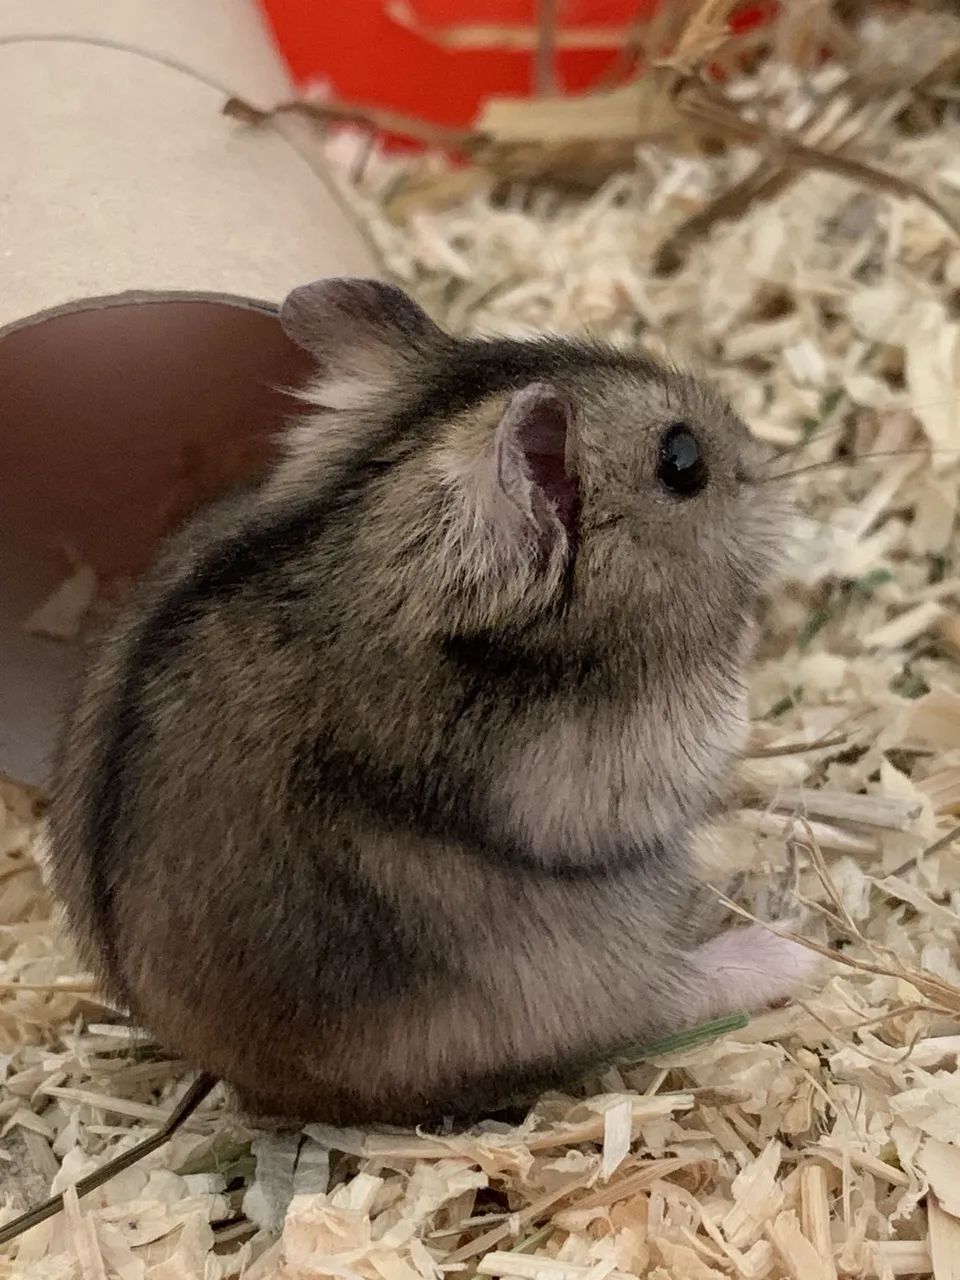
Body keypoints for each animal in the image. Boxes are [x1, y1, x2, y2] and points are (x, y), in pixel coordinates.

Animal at [47, 278, 816, 1126]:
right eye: (683, 460)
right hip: (579, 967)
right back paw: (789, 953)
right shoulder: (612, 765)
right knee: (661, 1001)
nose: (769, 466)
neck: (370, 539)